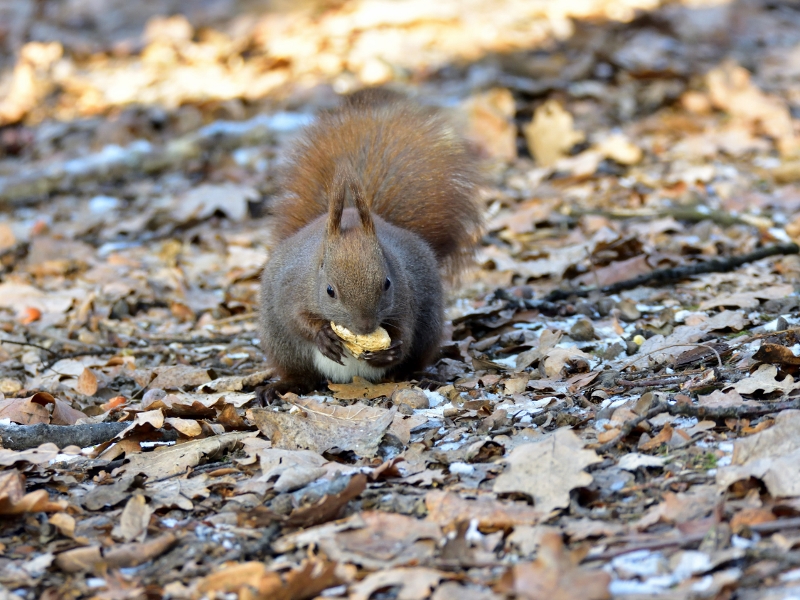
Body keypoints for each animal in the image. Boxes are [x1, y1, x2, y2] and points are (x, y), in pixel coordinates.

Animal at [258, 90, 482, 404]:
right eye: (329, 291)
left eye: (387, 283)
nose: (364, 327)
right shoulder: (291, 289)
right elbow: (296, 318)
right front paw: (321, 335)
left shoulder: (405, 294)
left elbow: (405, 328)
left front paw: (392, 349)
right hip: (281, 343)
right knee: (301, 375)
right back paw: (281, 386)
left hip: (429, 328)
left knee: (412, 359)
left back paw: (420, 376)